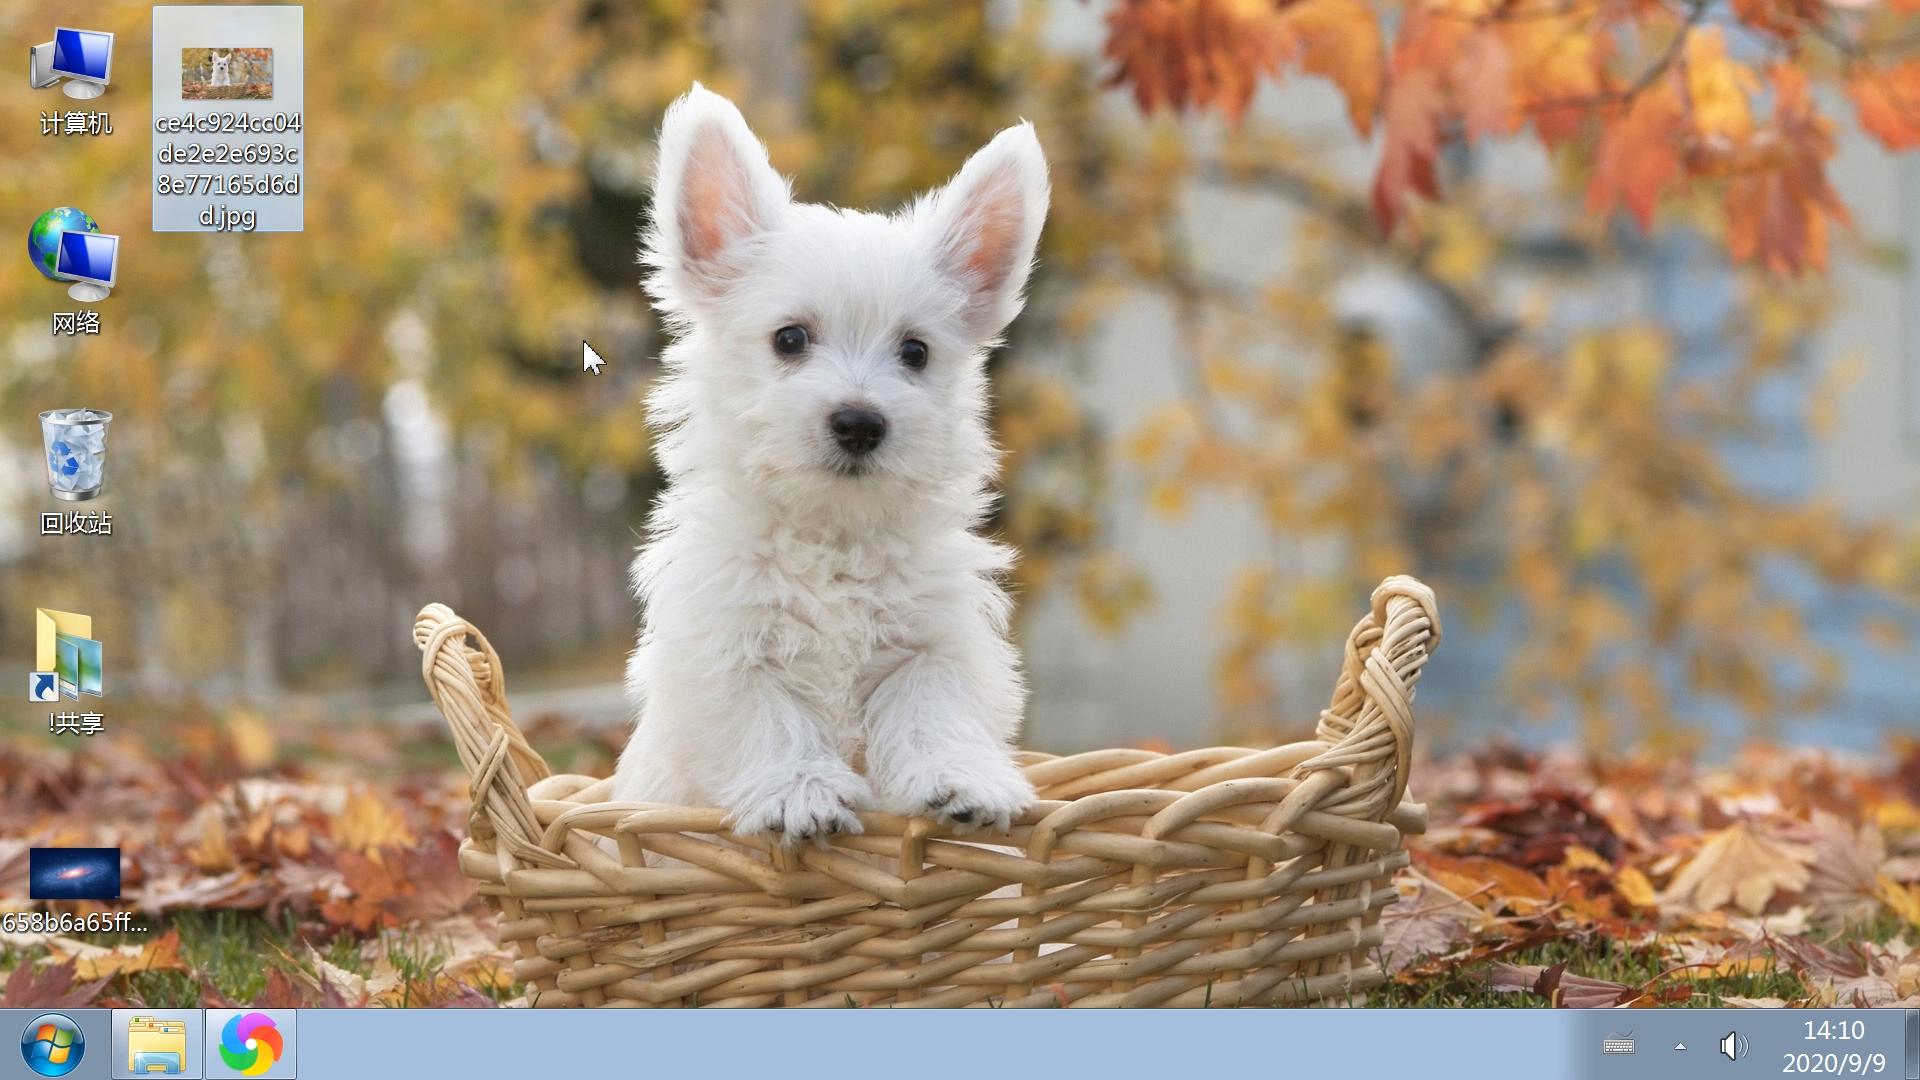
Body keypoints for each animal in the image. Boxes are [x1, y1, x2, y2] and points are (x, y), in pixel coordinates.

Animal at [610, 85, 1052, 841]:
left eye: (916, 352)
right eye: (789, 339)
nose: (860, 422)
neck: (833, 533)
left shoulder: (934, 641)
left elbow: (931, 709)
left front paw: (963, 780)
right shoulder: (726, 647)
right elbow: (771, 719)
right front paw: (802, 793)